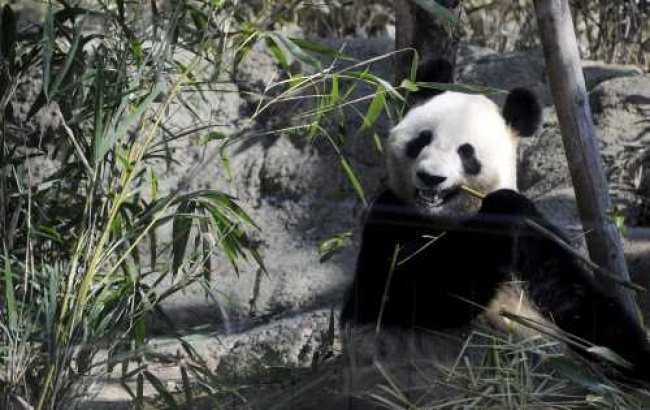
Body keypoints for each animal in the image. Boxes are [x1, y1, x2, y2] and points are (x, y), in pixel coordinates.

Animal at [339, 59, 650, 397]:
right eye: (422, 139)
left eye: (466, 152)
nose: (431, 177)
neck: (447, 218)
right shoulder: (388, 215)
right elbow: (400, 294)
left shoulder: (534, 233)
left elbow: (575, 299)